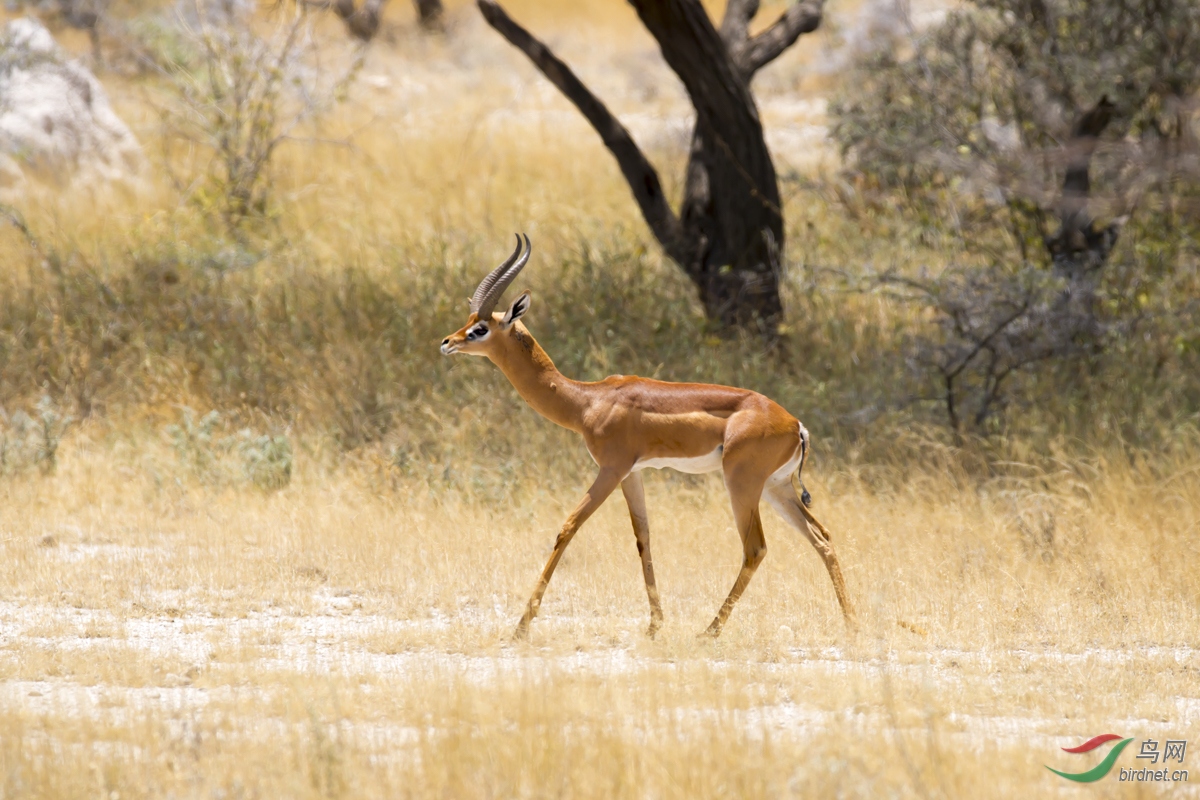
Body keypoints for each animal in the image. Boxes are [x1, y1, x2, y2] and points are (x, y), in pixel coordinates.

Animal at [441, 236, 854, 638]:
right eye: (468, 320)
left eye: (480, 328)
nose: (447, 341)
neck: (588, 400)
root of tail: (795, 424)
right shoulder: (633, 473)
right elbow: (643, 538)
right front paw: (655, 624)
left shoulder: (611, 469)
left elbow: (567, 529)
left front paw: (521, 626)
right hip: (776, 487)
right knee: (822, 537)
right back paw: (851, 622)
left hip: (742, 483)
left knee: (755, 548)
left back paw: (710, 630)